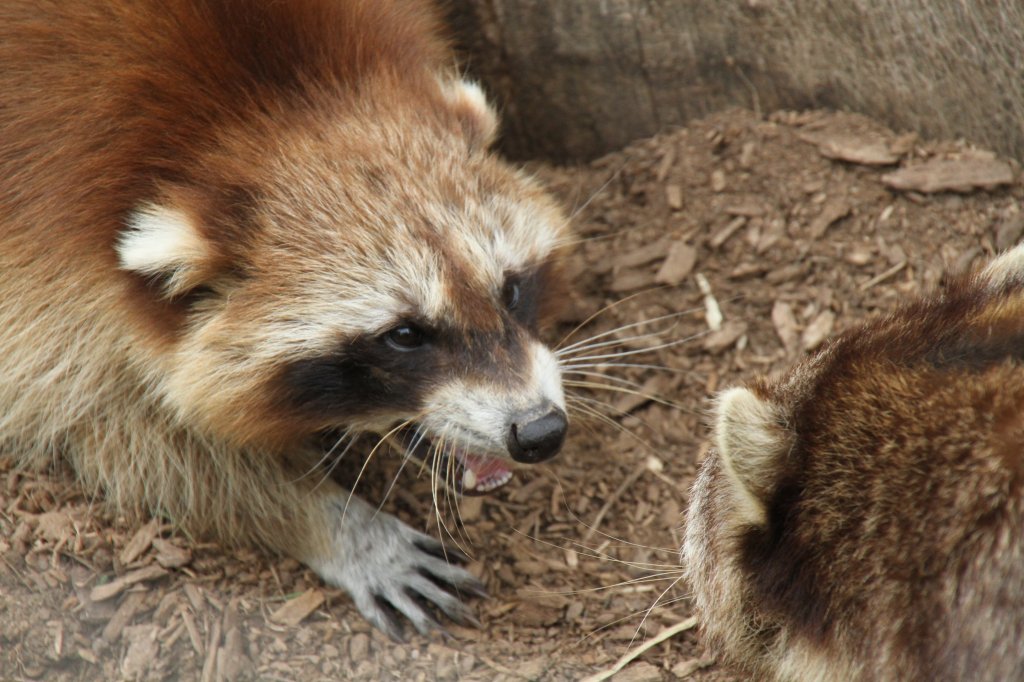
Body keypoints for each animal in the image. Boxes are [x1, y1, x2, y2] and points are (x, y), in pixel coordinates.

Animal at [0, 1, 573, 638]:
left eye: (511, 291)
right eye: (404, 336)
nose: (539, 432)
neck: (269, 107)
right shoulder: (44, 247)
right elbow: (124, 433)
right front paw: (333, 522)